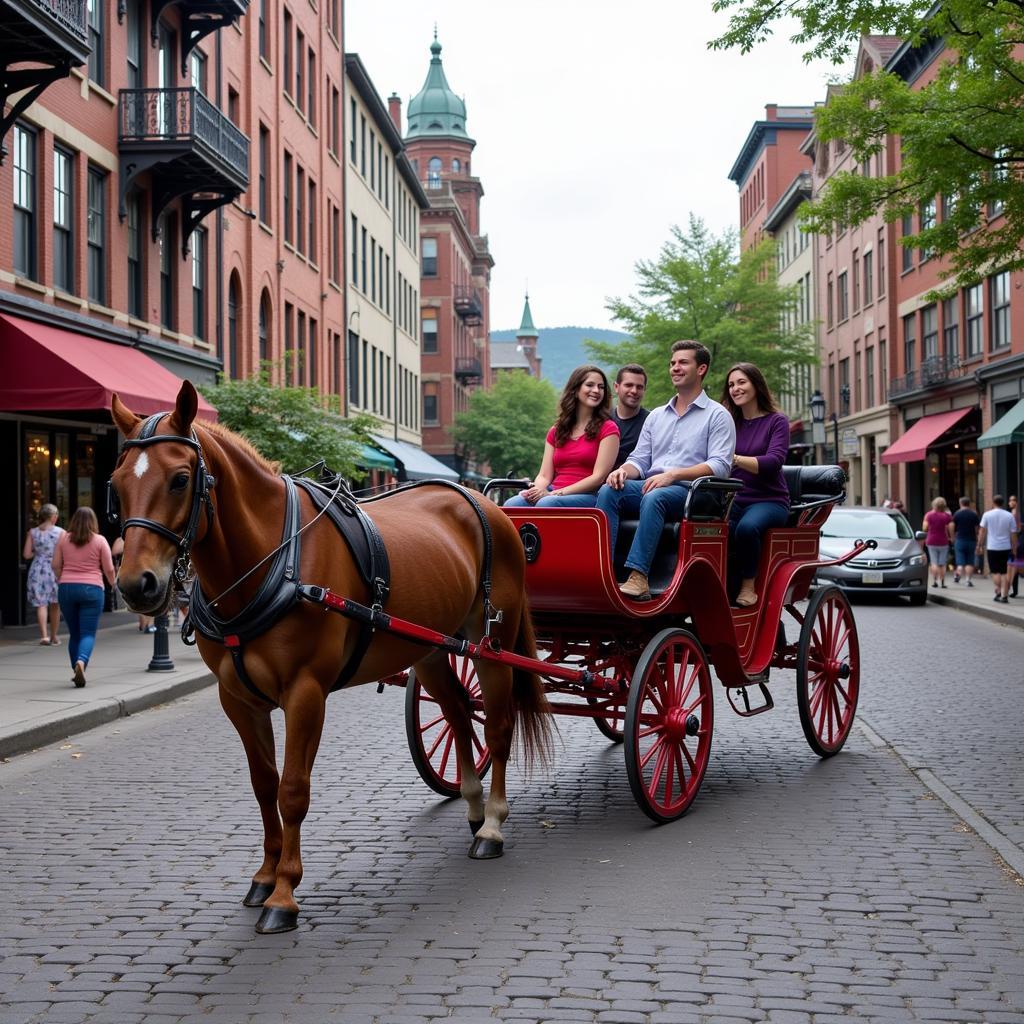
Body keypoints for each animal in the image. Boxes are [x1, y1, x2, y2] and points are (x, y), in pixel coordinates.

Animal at [111, 380, 552, 933]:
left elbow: (293, 790)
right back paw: (472, 806)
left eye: (180, 479)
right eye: (116, 484)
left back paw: (492, 825)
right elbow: (264, 785)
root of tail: (485, 503)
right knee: (456, 711)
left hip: (491, 645)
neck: (275, 560)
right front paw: (264, 876)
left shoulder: (306, 693)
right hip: (432, 646)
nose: (137, 585)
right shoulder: (238, 699)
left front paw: (284, 894)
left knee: (497, 727)